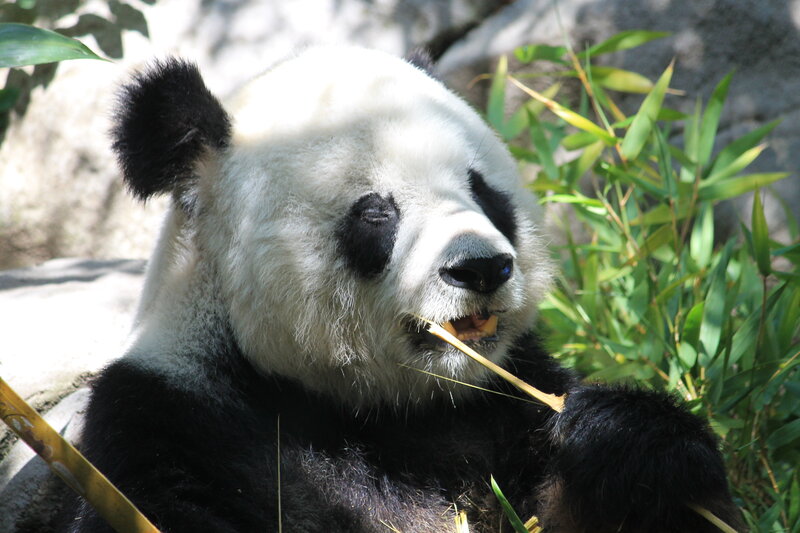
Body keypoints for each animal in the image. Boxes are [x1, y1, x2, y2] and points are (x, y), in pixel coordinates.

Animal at [68, 47, 743, 532]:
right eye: (375, 213)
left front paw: (629, 446)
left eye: (484, 192)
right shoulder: (174, 429)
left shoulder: (509, 408)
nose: (480, 269)